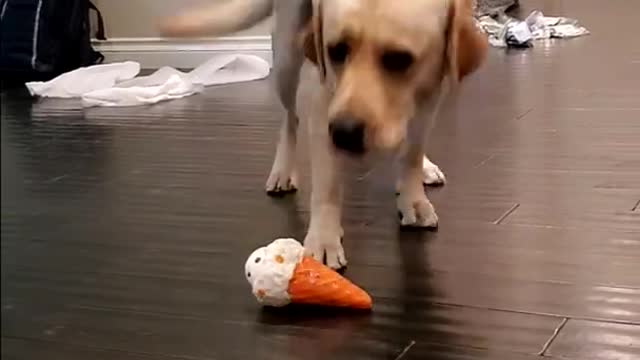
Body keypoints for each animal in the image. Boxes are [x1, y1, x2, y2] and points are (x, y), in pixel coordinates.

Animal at [162, 0, 488, 268]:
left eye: (399, 59)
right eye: (337, 51)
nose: (344, 133)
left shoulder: (431, 92)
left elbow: (411, 153)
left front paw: (413, 196)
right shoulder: (322, 99)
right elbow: (327, 183)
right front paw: (324, 237)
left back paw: (425, 167)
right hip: (287, 56)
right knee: (289, 119)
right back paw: (283, 170)